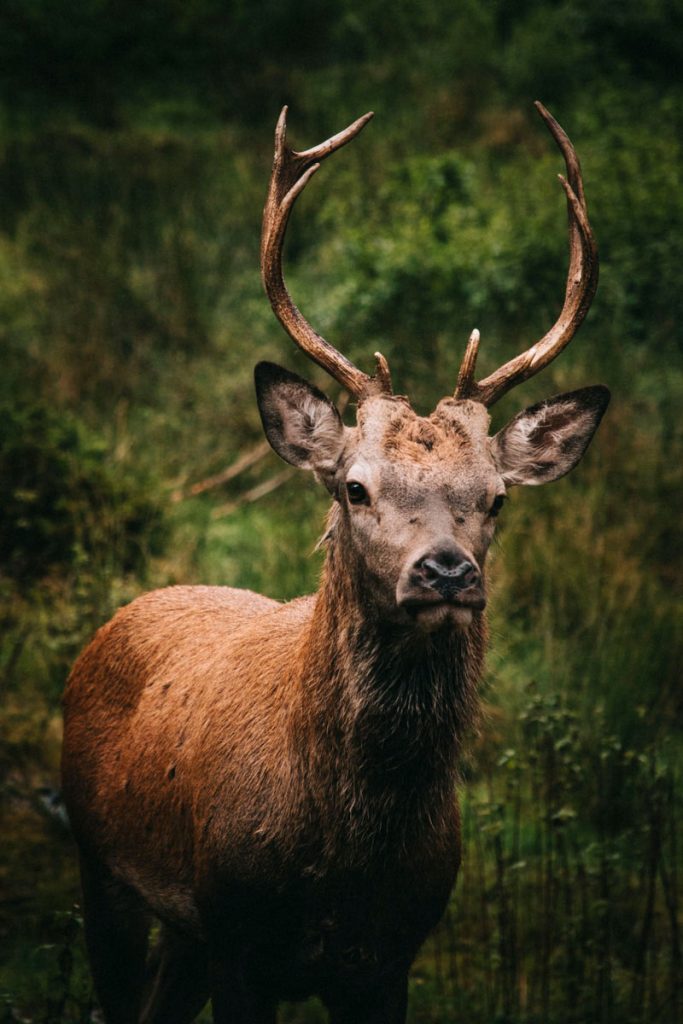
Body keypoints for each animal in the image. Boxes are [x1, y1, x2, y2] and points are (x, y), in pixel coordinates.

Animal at [61, 102, 609, 1024]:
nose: (445, 572)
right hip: (100, 866)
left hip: (183, 929)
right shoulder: (238, 937)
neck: (344, 861)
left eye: (496, 497)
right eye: (355, 487)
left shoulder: (388, 959)